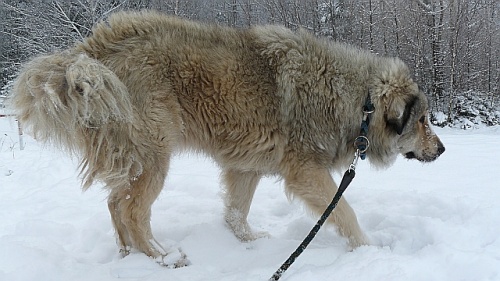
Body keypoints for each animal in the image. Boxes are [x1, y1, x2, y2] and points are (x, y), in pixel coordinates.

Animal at [9, 10, 444, 264]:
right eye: (423, 120)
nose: (441, 149)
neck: (361, 101)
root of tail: (88, 53)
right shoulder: (306, 172)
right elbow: (344, 212)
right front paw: (369, 250)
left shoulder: (245, 167)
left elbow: (236, 213)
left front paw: (250, 242)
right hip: (154, 156)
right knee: (133, 210)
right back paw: (162, 256)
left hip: (135, 158)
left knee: (116, 204)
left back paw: (130, 255)